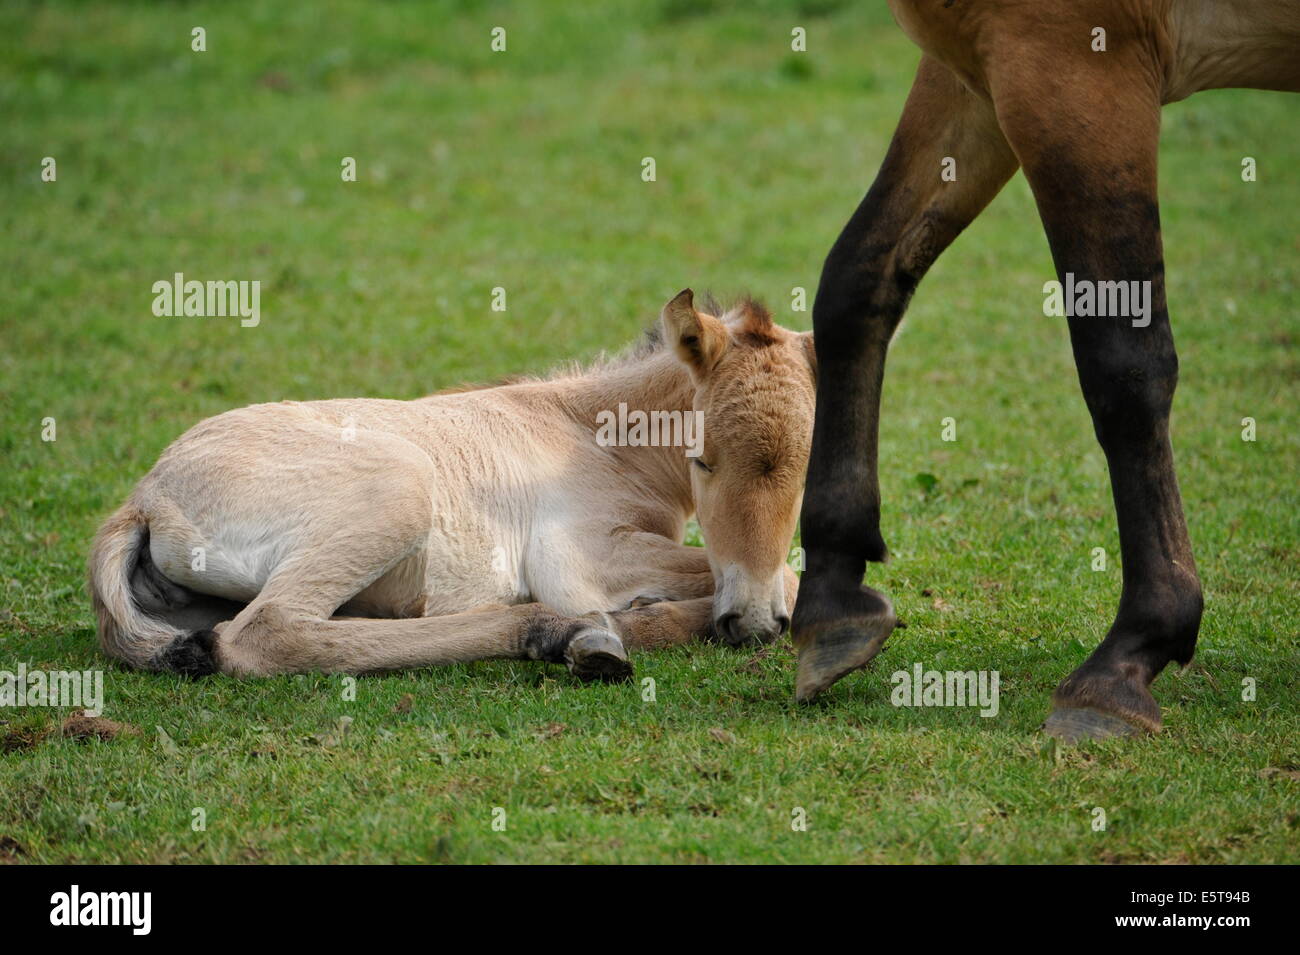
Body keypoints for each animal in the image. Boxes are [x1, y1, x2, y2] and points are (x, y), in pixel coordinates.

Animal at [88, 291, 816, 681]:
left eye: (808, 462)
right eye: (702, 458)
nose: (751, 623)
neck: (591, 432)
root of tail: (145, 496)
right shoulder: (579, 555)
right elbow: (786, 574)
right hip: (400, 488)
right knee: (268, 631)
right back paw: (563, 632)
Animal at [791, 0, 1299, 740]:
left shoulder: (1073, 68)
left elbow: (1124, 362)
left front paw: (1131, 652)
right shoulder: (974, 67)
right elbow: (860, 276)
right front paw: (832, 593)